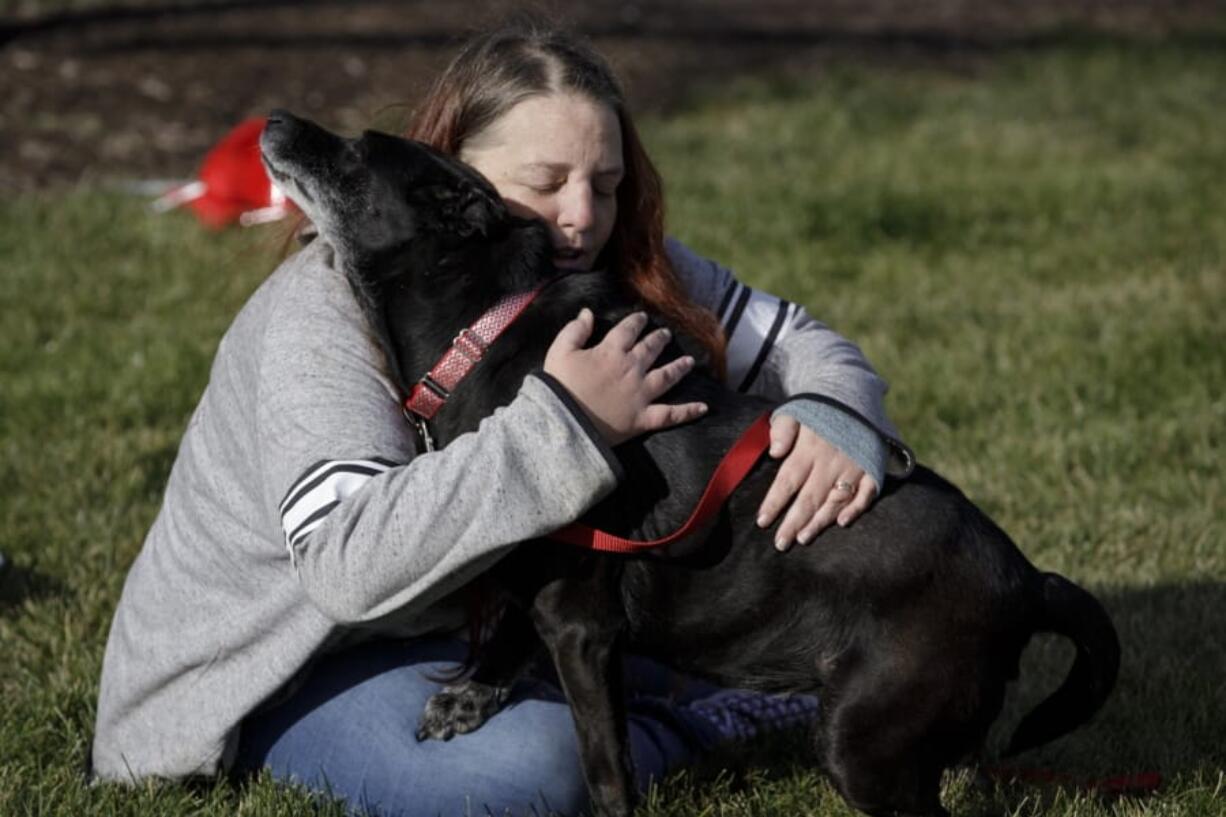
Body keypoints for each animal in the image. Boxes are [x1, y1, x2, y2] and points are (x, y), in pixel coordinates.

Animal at [258, 111, 1123, 814]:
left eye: (357, 152)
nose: (274, 119)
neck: (484, 332)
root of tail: (1027, 579)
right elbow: (503, 626)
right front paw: (470, 694)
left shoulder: (582, 625)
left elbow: (606, 768)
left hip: (865, 738)